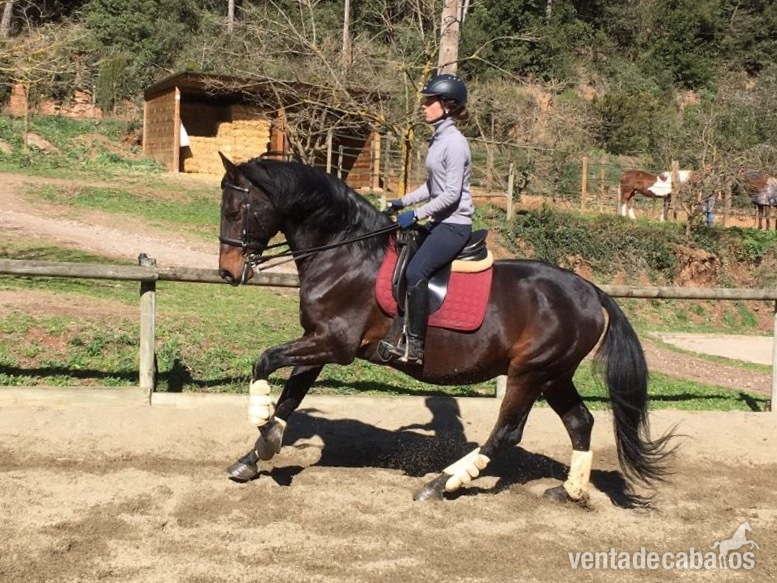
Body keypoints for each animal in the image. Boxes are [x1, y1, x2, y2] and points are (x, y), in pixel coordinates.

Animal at [217, 153, 676, 504]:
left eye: (234, 211)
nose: (227, 273)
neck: (345, 252)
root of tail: (592, 292)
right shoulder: (318, 342)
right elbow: (289, 398)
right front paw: (254, 455)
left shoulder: (334, 343)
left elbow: (264, 362)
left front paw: (265, 435)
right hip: (554, 375)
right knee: (581, 423)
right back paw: (570, 492)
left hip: (530, 373)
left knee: (507, 433)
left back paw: (440, 484)